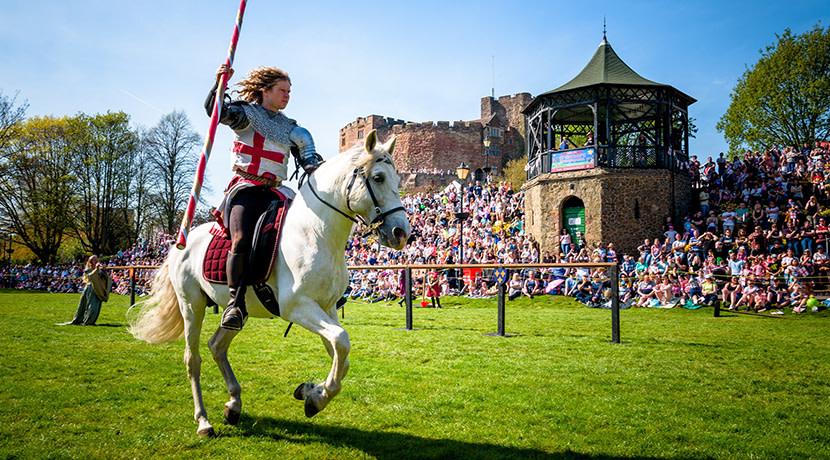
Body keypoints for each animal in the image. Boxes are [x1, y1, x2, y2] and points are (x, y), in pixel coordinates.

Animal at [128, 130, 412, 438]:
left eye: (398, 180)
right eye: (378, 178)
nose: (401, 232)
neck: (315, 232)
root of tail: (180, 241)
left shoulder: (326, 308)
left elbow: (341, 354)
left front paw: (310, 392)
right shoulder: (297, 307)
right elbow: (341, 340)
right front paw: (316, 398)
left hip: (238, 310)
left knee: (217, 345)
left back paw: (233, 405)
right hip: (192, 305)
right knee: (193, 360)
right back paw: (203, 421)